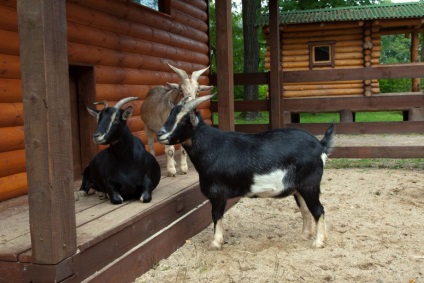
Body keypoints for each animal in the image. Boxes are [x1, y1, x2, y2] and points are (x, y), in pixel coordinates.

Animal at [157, 95, 336, 251]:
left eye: (184, 119)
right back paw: (305, 236)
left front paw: (215, 243)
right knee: (306, 210)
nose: (160, 133)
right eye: (170, 114)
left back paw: (319, 242)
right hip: (299, 188)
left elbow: (216, 216)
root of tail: (320, 145)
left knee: (318, 210)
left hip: (310, 185)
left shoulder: (218, 193)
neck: (211, 147)